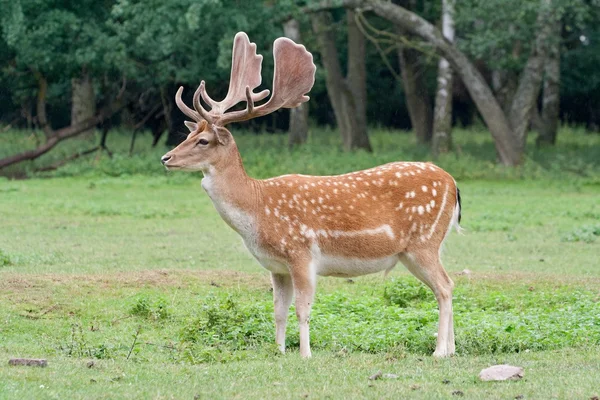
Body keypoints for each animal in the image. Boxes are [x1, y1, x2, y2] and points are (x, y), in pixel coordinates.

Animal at [162, 32, 462, 360]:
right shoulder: (277, 267)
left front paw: (305, 354)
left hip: (424, 242)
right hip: (422, 248)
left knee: (445, 286)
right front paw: (279, 350)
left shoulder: (301, 253)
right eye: (188, 134)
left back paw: (439, 351)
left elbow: (302, 310)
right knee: (449, 284)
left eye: (203, 141)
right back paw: (452, 349)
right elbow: (278, 311)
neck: (256, 210)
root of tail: (453, 184)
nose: (166, 158)